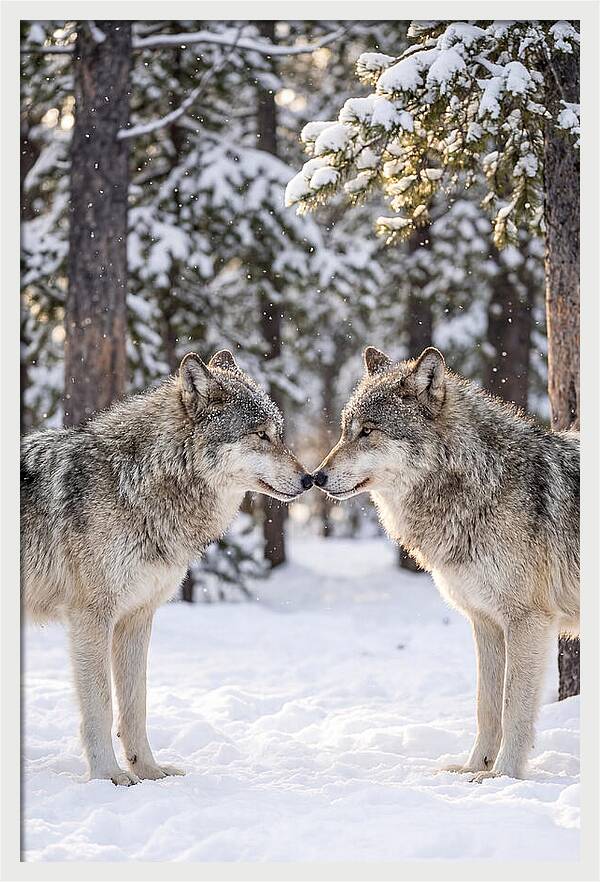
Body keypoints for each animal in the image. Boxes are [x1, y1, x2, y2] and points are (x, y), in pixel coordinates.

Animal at [21, 350, 312, 785]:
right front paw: (109, 775)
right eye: (260, 435)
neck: (134, 484)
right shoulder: (91, 617)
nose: (311, 478)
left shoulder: (138, 616)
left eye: (278, 434)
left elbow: (135, 704)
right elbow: (100, 705)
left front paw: (149, 770)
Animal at [313, 346, 579, 781]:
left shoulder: (528, 621)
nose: (315, 477)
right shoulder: (486, 622)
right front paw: (473, 767)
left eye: (368, 431)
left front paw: (503, 776)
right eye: (345, 431)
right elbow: (486, 707)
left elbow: (513, 709)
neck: (481, 483)